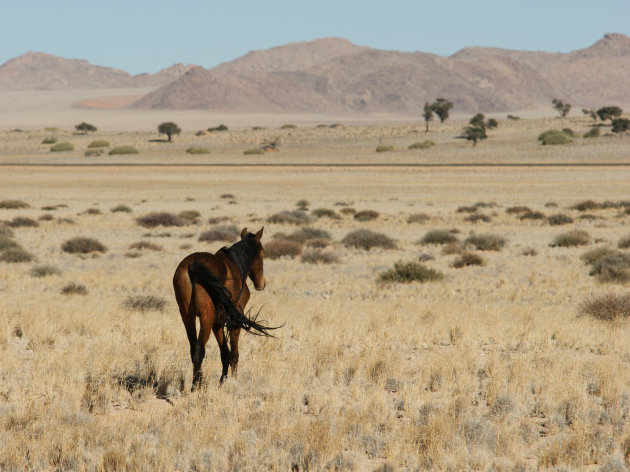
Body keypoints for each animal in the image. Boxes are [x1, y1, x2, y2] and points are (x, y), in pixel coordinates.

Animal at [173, 228, 276, 388]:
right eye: (263, 252)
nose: (261, 283)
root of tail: (192, 265)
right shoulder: (235, 320)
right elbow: (233, 353)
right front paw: (233, 381)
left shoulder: (218, 322)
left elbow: (224, 352)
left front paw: (223, 380)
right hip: (206, 318)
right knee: (199, 349)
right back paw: (197, 386)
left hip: (187, 317)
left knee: (193, 349)